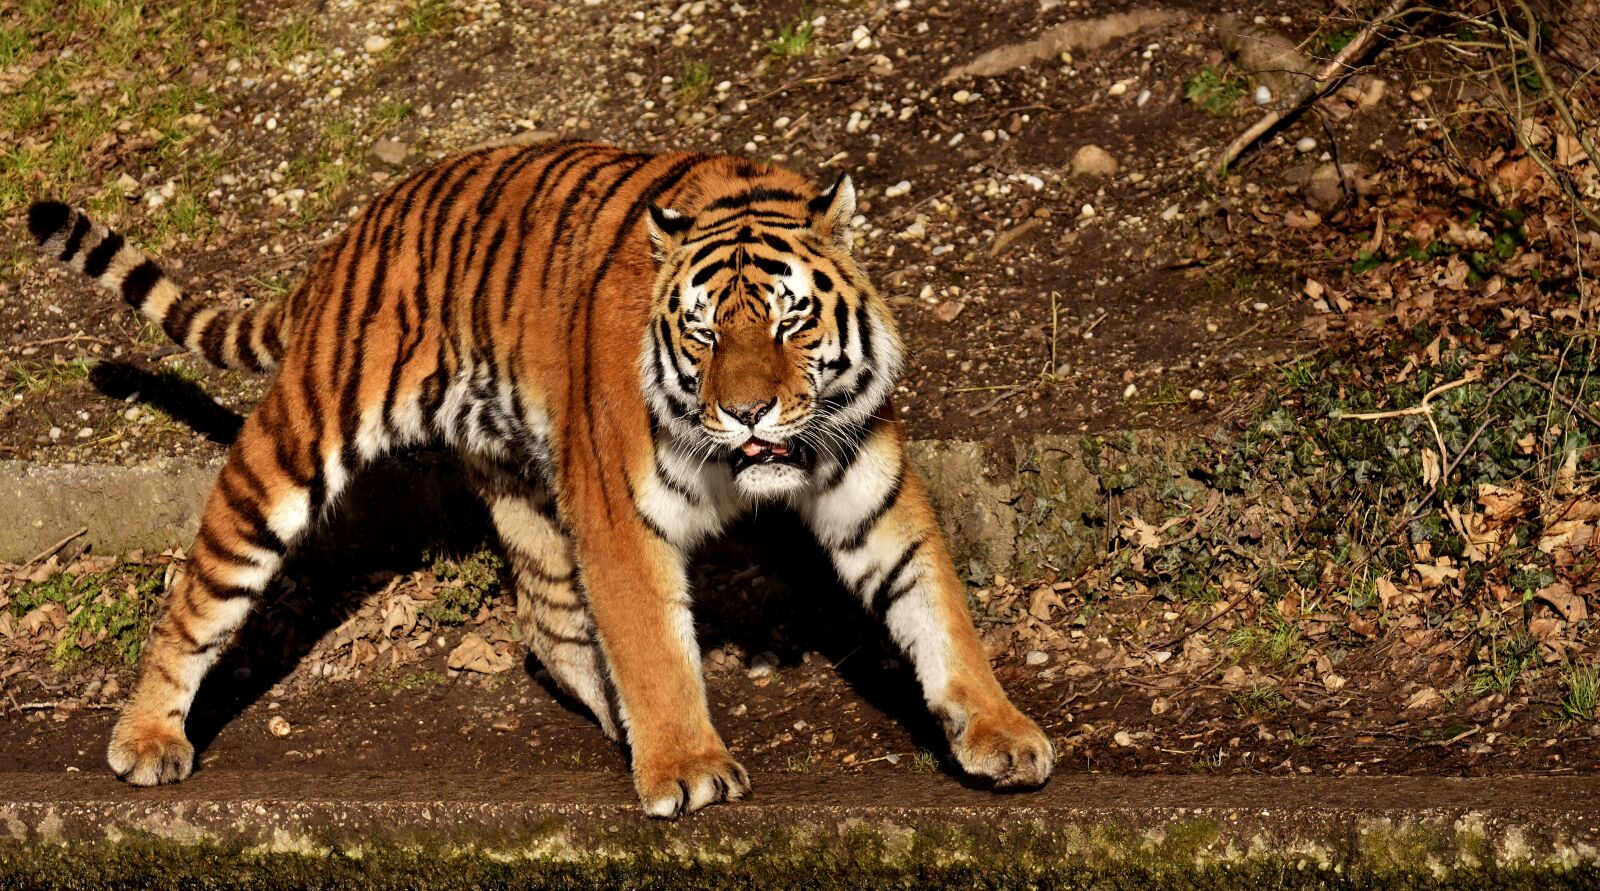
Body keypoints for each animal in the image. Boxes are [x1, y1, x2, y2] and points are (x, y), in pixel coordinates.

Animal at [26, 140, 1053, 817]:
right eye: (705, 332)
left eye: (791, 321)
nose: (749, 412)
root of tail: (358, 228)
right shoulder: (623, 513)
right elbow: (652, 639)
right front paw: (688, 767)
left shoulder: (874, 489)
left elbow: (937, 607)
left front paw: (1003, 735)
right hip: (296, 445)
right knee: (201, 586)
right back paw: (146, 740)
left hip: (524, 480)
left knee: (549, 627)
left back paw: (620, 723)